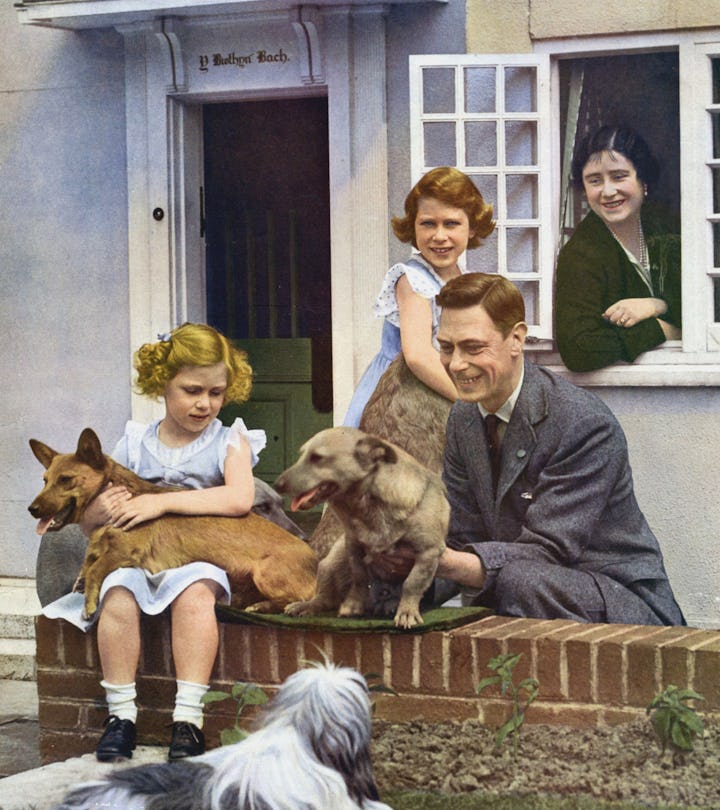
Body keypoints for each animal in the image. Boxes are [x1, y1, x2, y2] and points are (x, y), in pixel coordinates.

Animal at [274, 426, 448, 628]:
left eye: (317, 457)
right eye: (301, 455)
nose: (277, 484)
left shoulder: (429, 552)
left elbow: (412, 583)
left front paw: (407, 612)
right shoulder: (353, 547)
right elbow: (359, 577)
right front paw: (353, 604)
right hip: (329, 563)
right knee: (324, 598)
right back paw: (306, 606)